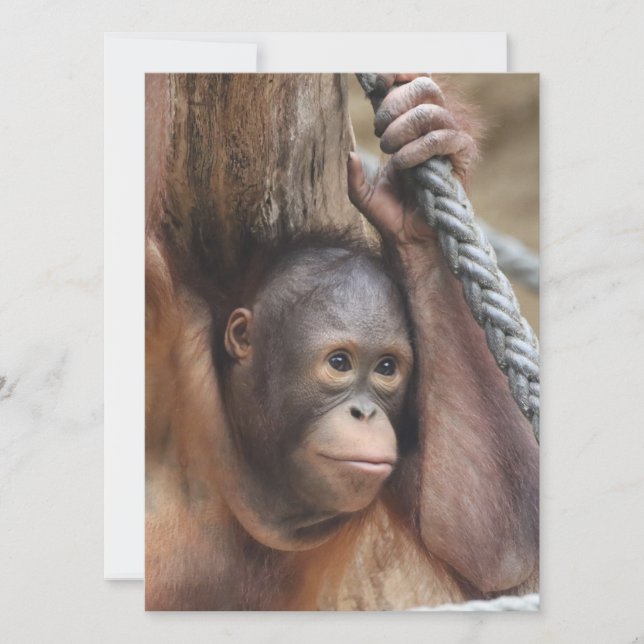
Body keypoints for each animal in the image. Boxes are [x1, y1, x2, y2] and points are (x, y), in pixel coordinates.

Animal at [145, 74, 539, 610]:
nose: (364, 413)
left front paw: (418, 171)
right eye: (339, 363)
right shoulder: (167, 321)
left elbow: (495, 547)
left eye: (387, 369)